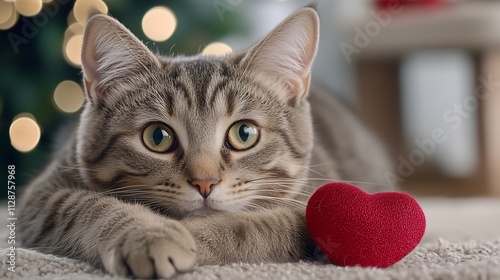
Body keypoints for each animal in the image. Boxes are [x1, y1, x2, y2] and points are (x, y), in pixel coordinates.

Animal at [19, 5, 392, 278]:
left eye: (244, 134)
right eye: (157, 137)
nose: (204, 182)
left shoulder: (318, 202)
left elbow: (254, 227)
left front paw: (191, 235)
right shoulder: (43, 196)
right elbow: (89, 206)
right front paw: (150, 233)